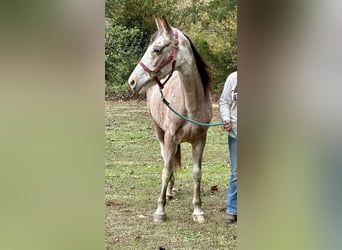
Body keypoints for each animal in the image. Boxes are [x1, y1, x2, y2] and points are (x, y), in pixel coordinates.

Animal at [128, 17, 211, 225]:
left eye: (156, 50)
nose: (132, 81)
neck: (190, 105)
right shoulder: (170, 137)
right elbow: (166, 170)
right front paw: (160, 211)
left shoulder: (200, 140)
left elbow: (197, 173)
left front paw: (198, 210)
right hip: (159, 131)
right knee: (167, 160)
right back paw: (168, 193)